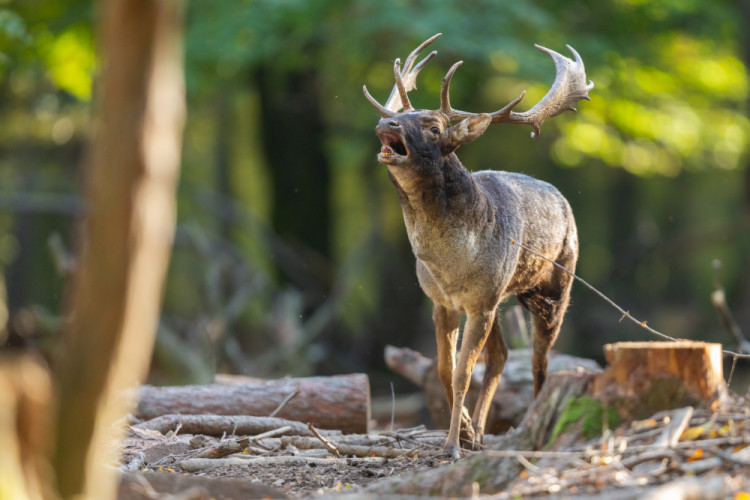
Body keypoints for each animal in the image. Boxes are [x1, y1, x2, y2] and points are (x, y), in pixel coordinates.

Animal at [364, 33, 592, 458]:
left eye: (434, 127)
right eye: (402, 114)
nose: (386, 121)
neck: (452, 265)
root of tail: (564, 200)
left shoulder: (481, 302)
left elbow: (463, 373)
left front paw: (453, 445)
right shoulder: (444, 301)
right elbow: (444, 369)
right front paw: (466, 433)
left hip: (556, 286)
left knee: (540, 361)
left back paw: (529, 423)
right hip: (501, 298)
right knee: (501, 356)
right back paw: (483, 433)